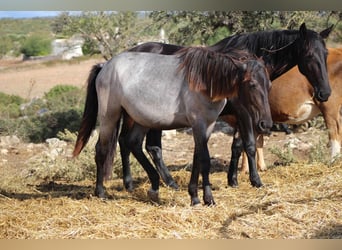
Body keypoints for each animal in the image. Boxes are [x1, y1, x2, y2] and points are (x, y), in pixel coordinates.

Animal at [74, 47, 272, 205]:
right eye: (252, 84)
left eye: (269, 85)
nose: (266, 124)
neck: (205, 81)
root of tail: (105, 66)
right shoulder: (199, 124)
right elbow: (205, 160)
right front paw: (207, 198)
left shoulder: (207, 126)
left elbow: (197, 158)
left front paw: (195, 196)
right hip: (110, 116)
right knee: (102, 149)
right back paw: (101, 192)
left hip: (141, 119)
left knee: (132, 143)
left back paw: (154, 186)